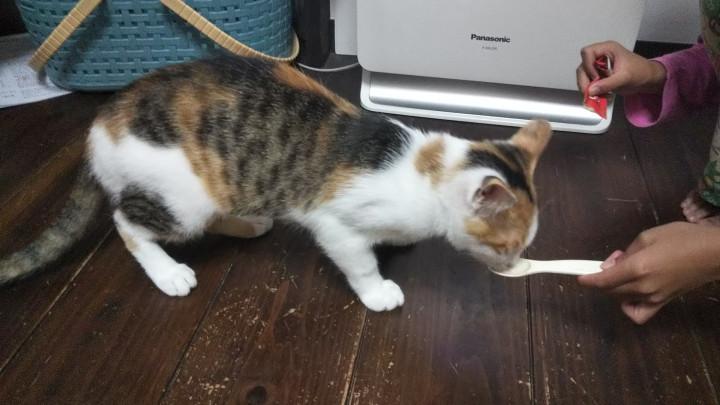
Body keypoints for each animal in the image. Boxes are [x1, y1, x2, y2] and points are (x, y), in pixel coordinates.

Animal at [0, 56, 551, 311]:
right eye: (506, 245)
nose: (514, 267)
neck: (426, 170)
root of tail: (103, 118)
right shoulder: (334, 223)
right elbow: (358, 262)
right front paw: (377, 290)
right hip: (181, 197)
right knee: (126, 221)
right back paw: (168, 272)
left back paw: (250, 223)